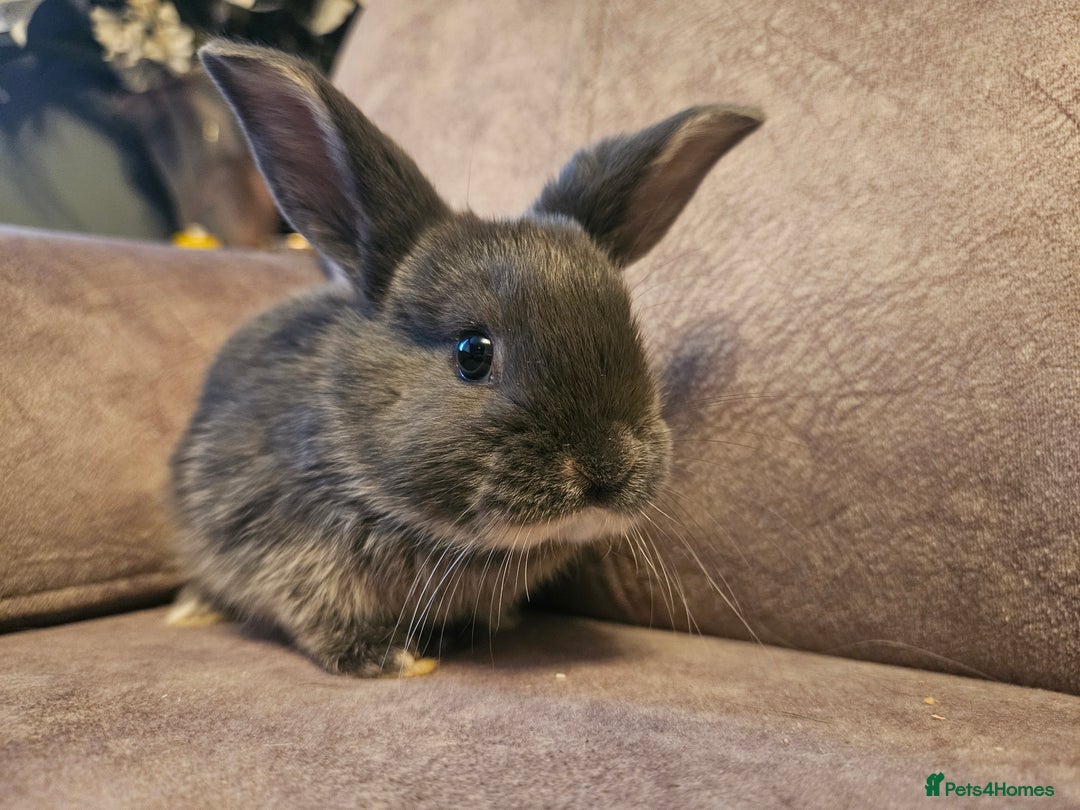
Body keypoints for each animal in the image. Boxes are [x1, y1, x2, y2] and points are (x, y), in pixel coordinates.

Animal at [168, 40, 762, 677]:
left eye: (635, 336)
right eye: (472, 352)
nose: (606, 469)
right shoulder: (284, 544)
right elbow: (315, 610)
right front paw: (386, 658)